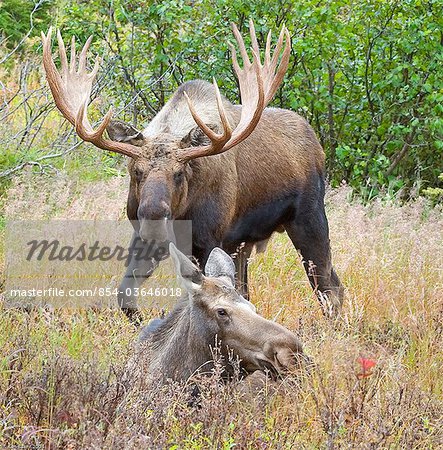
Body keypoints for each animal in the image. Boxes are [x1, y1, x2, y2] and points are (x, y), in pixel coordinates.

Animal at [41, 19, 346, 320]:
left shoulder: (208, 240)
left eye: (179, 174)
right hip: (243, 242)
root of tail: (317, 146)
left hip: (308, 218)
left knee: (329, 285)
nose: (154, 218)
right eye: (136, 172)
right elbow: (125, 296)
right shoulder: (144, 238)